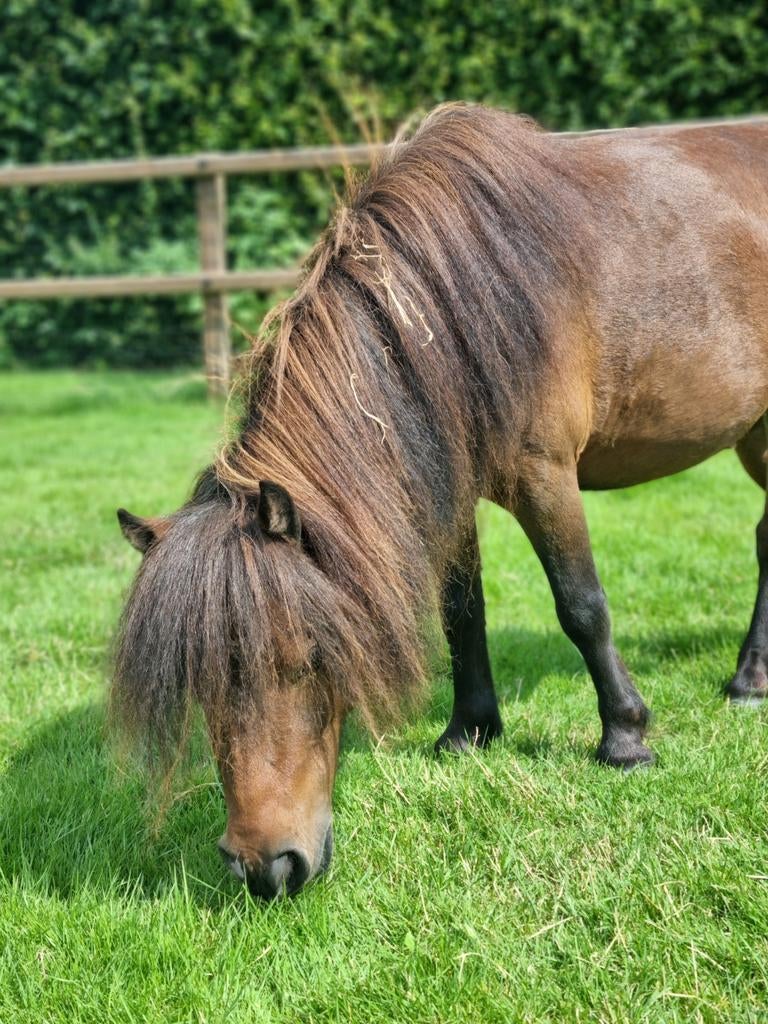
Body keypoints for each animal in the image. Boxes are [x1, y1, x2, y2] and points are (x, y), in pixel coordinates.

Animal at [113, 103, 768, 899]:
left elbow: (581, 605)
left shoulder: (545, 473)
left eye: (304, 658)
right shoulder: (455, 490)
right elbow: (462, 612)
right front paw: (470, 731)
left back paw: (746, 681)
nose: (266, 867)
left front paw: (626, 738)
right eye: (200, 685)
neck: (442, 306)